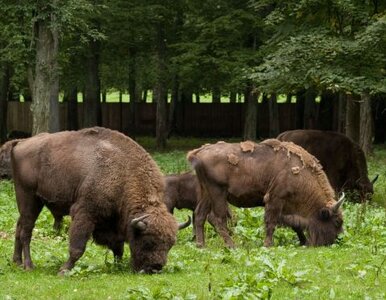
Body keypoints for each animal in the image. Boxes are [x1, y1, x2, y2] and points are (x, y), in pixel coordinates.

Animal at [9, 126, 189, 274]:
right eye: (148, 242)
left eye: (170, 245)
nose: (155, 268)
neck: (124, 174)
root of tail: (21, 143)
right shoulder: (85, 213)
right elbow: (77, 247)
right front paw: (64, 270)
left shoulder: (113, 222)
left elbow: (118, 247)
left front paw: (118, 266)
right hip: (29, 198)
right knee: (26, 231)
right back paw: (28, 266)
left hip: (30, 202)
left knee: (19, 227)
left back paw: (17, 262)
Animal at [187, 141, 344, 248]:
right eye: (336, 222)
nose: (337, 240)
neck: (299, 172)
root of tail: (198, 152)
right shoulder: (276, 199)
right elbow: (271, 222)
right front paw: (268, 244)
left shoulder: (285, 207)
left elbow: (294, 225)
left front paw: (303, 241)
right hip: (217, 192)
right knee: (219, 219)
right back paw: (232, 246)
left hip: (206, 193)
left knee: (200, 215)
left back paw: (201, 246)